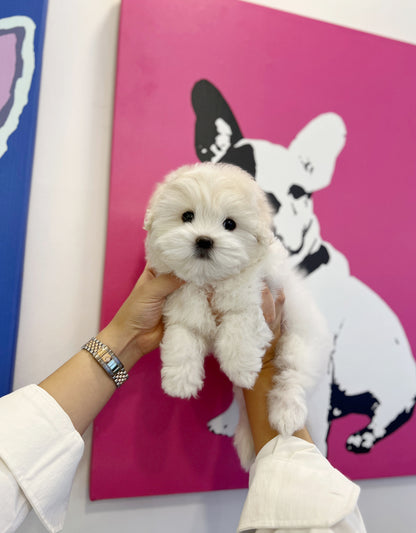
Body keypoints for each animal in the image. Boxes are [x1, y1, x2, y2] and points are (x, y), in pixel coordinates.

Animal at [145, 162, 330, 466]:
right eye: (187, 216)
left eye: (230, 224)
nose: (204, 241)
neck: (209, 279)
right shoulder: (181, 307)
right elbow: (181, 341)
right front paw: (179, 382)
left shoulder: (257, 297)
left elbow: (240, 325)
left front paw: (240, 367)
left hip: (300, 345)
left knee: (292, 377)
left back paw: (286, 415)